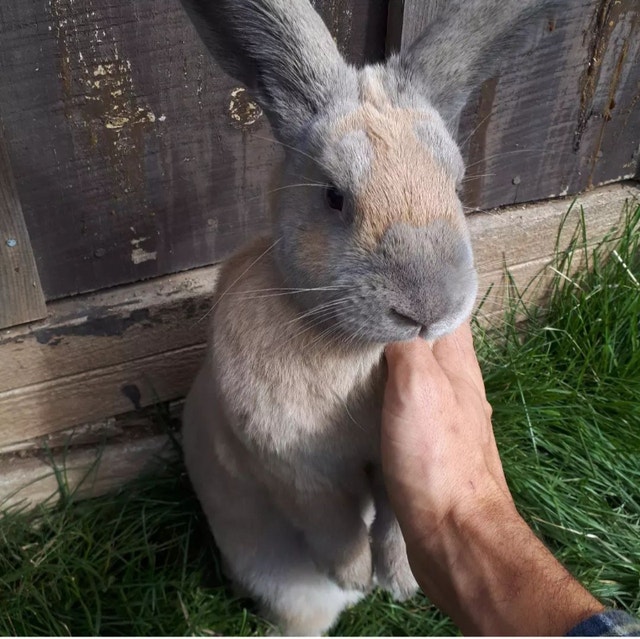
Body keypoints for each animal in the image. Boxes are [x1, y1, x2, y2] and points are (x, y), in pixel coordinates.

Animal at [180, 0, 558, 635]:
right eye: (334, 197)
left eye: (457, 183)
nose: (428, 309)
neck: (351, 348)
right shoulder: (293, 472)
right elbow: (334, 524)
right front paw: (358, 577)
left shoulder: (391, 466)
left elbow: (396, 520)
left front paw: (399, 581)